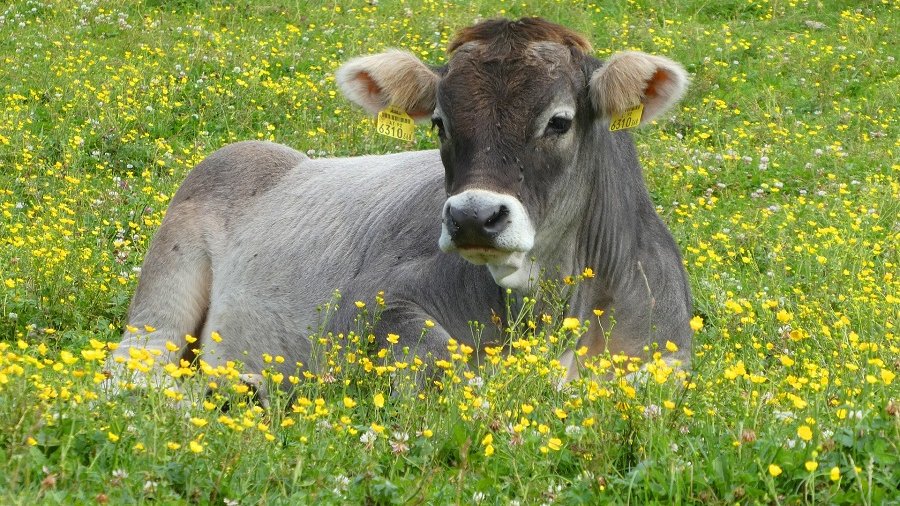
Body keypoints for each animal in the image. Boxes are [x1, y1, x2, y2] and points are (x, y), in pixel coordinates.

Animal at [109, 17, 692, 394]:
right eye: (439, 123)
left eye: (560, 121)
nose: (473, 217)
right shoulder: (366, 304)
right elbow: (445, 362)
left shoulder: (670, 355)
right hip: (161, 302)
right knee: (133, 371)